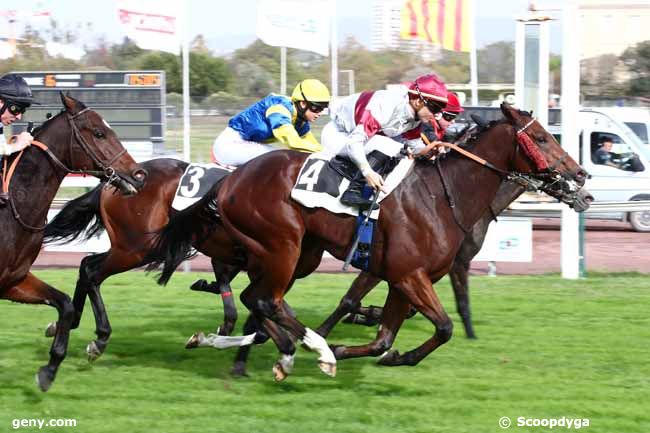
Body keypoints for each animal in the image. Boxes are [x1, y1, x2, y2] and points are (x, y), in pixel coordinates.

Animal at [0, 94, 144, 392]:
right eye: (99, 132)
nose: (139, 175)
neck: (12, 207)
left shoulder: (12, 280)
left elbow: (65, 304)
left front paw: (49, 369)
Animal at [149, 104, 588, 378]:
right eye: (543, 139)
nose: (580, 176)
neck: (440, 196)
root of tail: (229, 180)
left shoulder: (401, 279)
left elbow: (384, 339)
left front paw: (383, 353)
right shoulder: (408, 275)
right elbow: (443, 326)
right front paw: (347, 345)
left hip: (296, 254)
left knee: (255, 299)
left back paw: (269, 348)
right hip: (282, 245)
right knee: (265, 300)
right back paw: (310, 350)